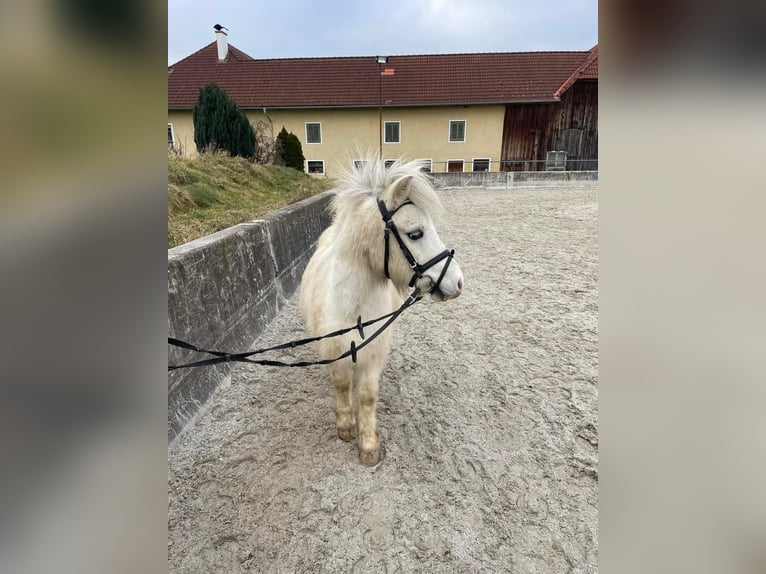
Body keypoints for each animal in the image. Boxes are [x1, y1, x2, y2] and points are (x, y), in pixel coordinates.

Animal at [302, 159, 468, 468]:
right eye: (415, 233)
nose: (458, 283)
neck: (354, 309)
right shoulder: (335, 348)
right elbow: (341, 384)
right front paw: (346, 426)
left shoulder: (373, 350)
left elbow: (367, 396)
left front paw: (369, 446)